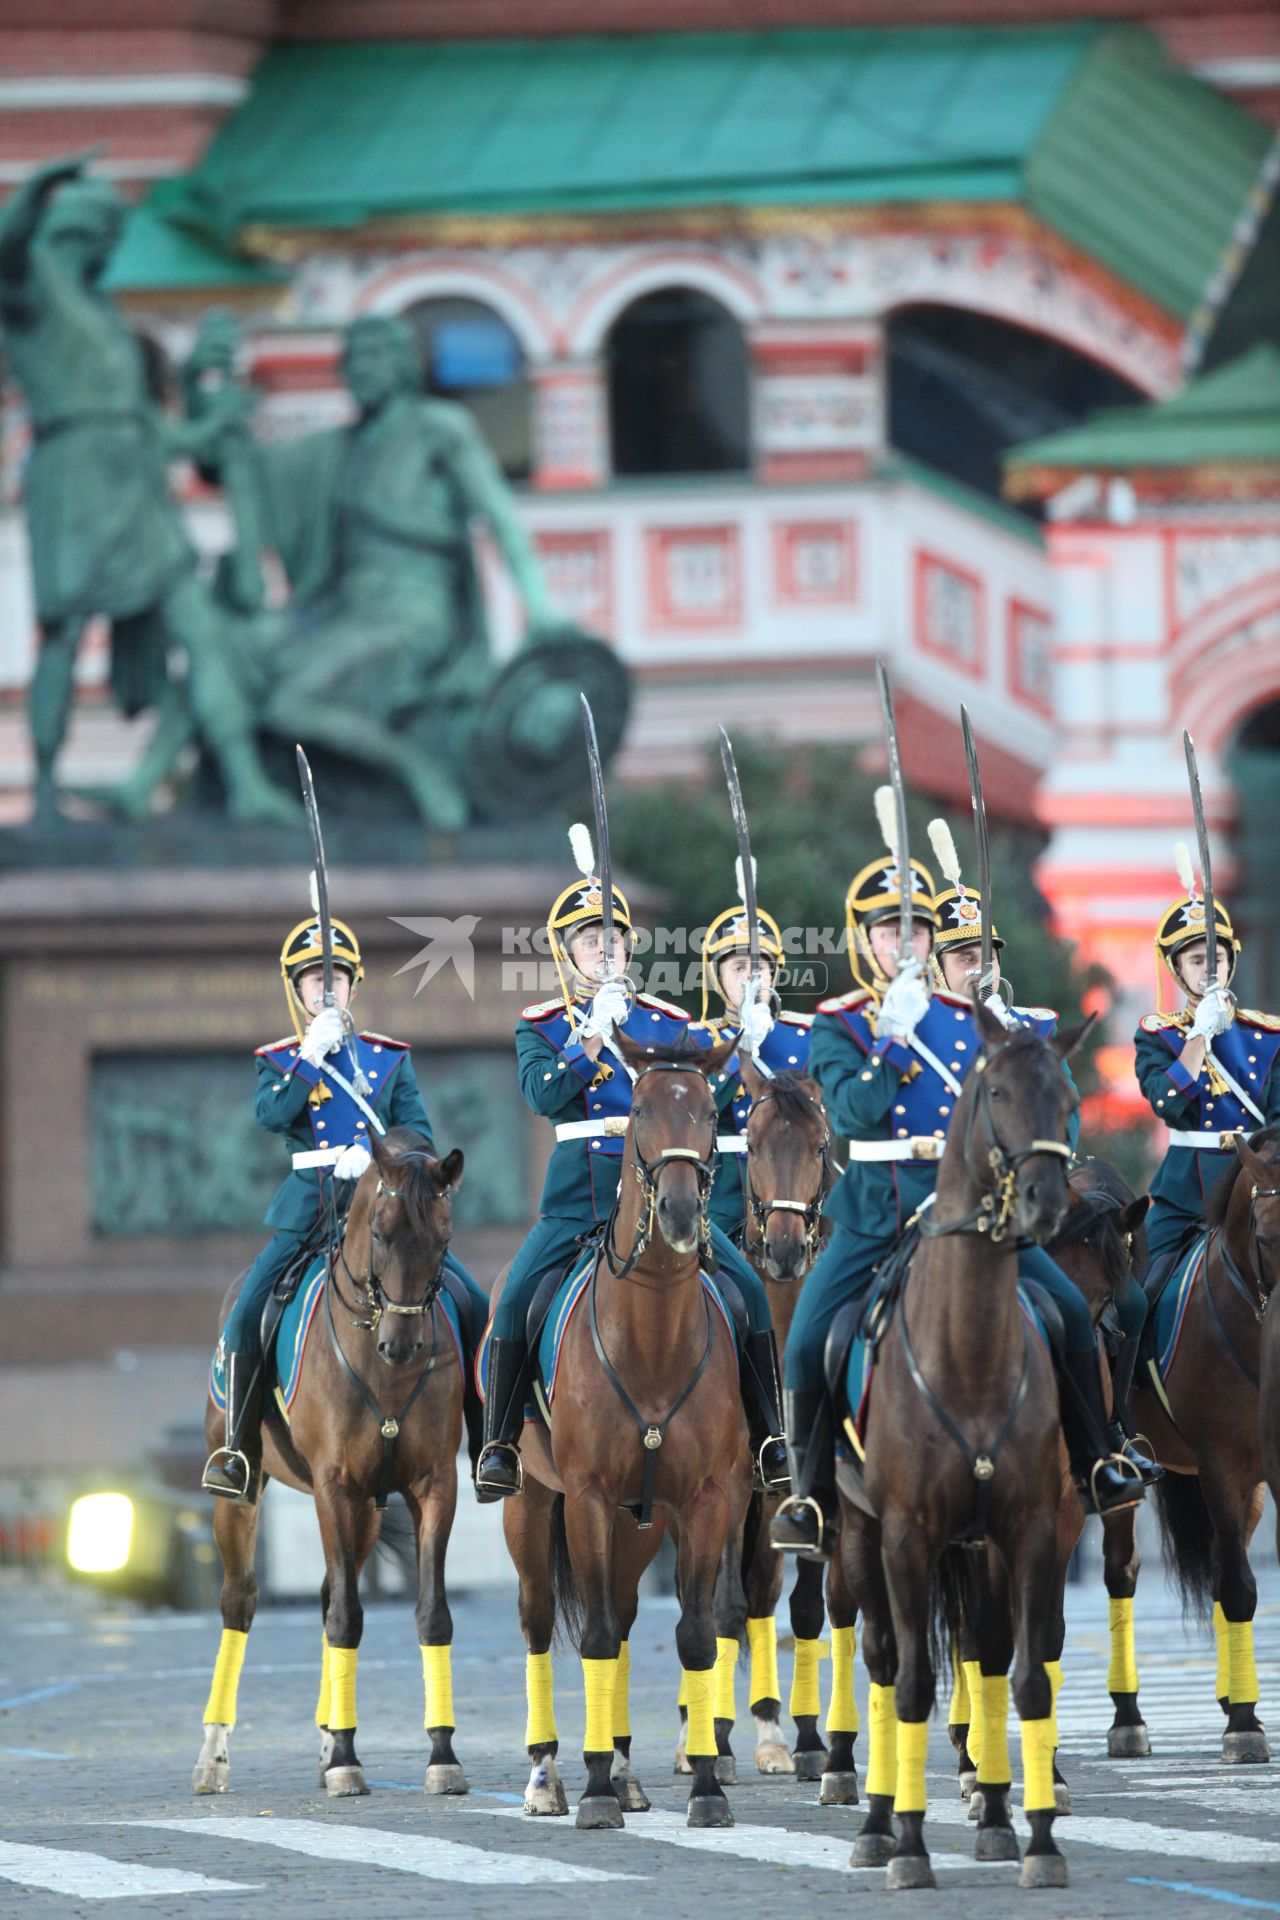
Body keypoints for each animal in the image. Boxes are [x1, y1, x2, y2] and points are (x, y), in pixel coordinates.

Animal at [189, 1121, 470, 1797]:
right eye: (381, 1232)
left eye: (443, 1238)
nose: (404, 1345)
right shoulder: (333, 1486)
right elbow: (347, 1617)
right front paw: (346, 1759)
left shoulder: (433, 1486)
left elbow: (431, 1614)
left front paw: (440, 1753)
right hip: (242, 1491)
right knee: (240, 1601)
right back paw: (214, 1754)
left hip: (366, 1511)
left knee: (322, 1595)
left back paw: (325, 1738)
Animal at [498, 1036, 752, 1827]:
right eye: (637, 1109)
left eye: (710, 1111)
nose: (677, 1209)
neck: (653, 1339)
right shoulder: (583, 1497)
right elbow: (597, 1634)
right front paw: (595, 1791)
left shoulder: (705, 1502)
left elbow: (695, 1635)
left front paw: (703, 1786)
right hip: (530, 1504)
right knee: (540, 1622)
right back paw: (549, 1773)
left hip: (640, 1523)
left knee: (630, 1612)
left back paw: (625, 1767)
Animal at [836, 1006, 1090, 1889]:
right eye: (999, 1092)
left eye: (1070, 1099)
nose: (1045, 1202)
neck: (972, 1350)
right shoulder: (907, 1536)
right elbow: (912, 1684)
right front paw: (909, 1844)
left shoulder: (1033, 1529)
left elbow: (1026, 1678)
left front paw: (1038, 1839)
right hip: (858, 1535)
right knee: (882, 1661)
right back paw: (878, 1821)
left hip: (980, 1546)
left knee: (985, 1652)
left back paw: (995, 1811)